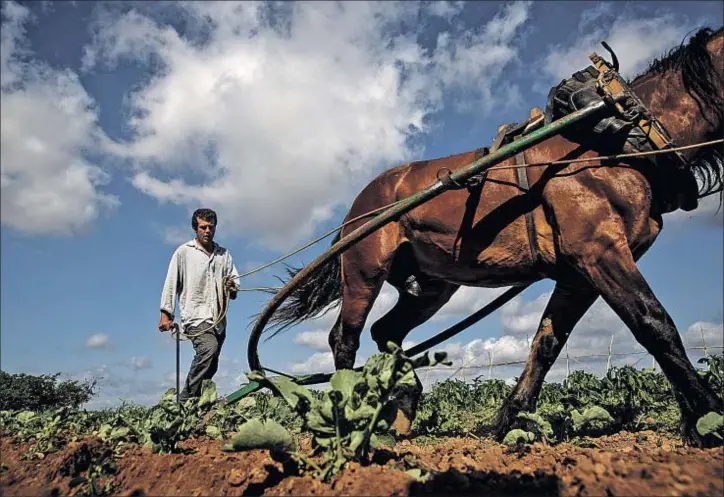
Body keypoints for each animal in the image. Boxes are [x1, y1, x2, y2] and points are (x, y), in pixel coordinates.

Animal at [268, 27, 724, 444]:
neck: (619, 141)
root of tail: (360, 203)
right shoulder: (601, 251)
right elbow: (655, 324)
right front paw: (709, 416)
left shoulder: (578, 273)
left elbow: (547, 343)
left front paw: (509, 420)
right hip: (364, 269)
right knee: (345, 337)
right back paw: (348, 417)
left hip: (432, 287)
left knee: (387, 332)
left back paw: (402, 409)